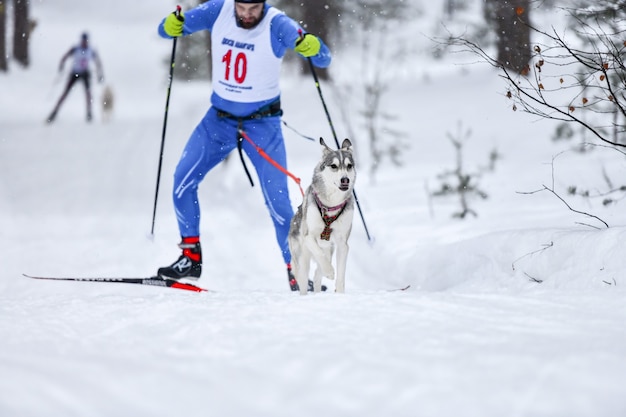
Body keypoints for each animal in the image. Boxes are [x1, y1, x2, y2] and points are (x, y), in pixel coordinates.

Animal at [286, 136, 354, 292]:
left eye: (349, 166)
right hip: (302, 259)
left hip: (330, 249)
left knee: (317, 275)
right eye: (333, 166)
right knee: (304, 280)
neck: (331, 205)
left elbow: (341, 277)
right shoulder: (308, 237)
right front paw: (330, 271)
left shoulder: (342, 244)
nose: (345, 180)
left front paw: (340, 292)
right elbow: (319, 253)